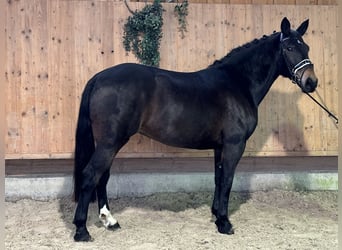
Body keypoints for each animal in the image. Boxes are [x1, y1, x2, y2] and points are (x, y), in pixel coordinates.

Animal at [71, 16, 318, 241]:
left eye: (306, 47)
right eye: (289, 47)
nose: (311, 82)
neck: (238, 83)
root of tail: (98, 78)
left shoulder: (220, 146)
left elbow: (218, 178)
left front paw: (216, 214)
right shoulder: (234, 144)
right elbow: (228, 180)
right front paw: (225, 223)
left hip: (109, 142)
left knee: (102, 176)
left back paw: (110, 220)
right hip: (110, 142)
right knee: (91, 175)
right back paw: (82, 230)